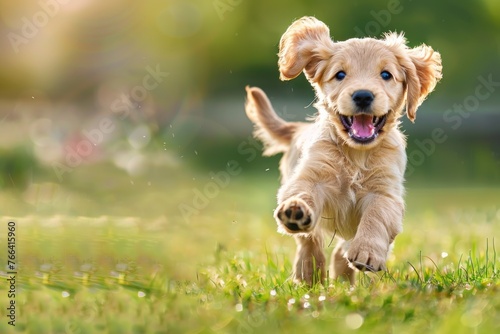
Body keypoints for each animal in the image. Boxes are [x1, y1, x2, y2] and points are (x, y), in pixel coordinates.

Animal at [245, 16, 442, 284]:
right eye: (340, 74)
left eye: (386, 74)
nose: (363, 96)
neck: (356, 154)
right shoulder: (312, 176)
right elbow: (303, 194)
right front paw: (296, 210)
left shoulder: (385, 192)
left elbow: (376, 217)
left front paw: (367, 253)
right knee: (309, 241)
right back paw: (308, 271)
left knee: (341, 249)